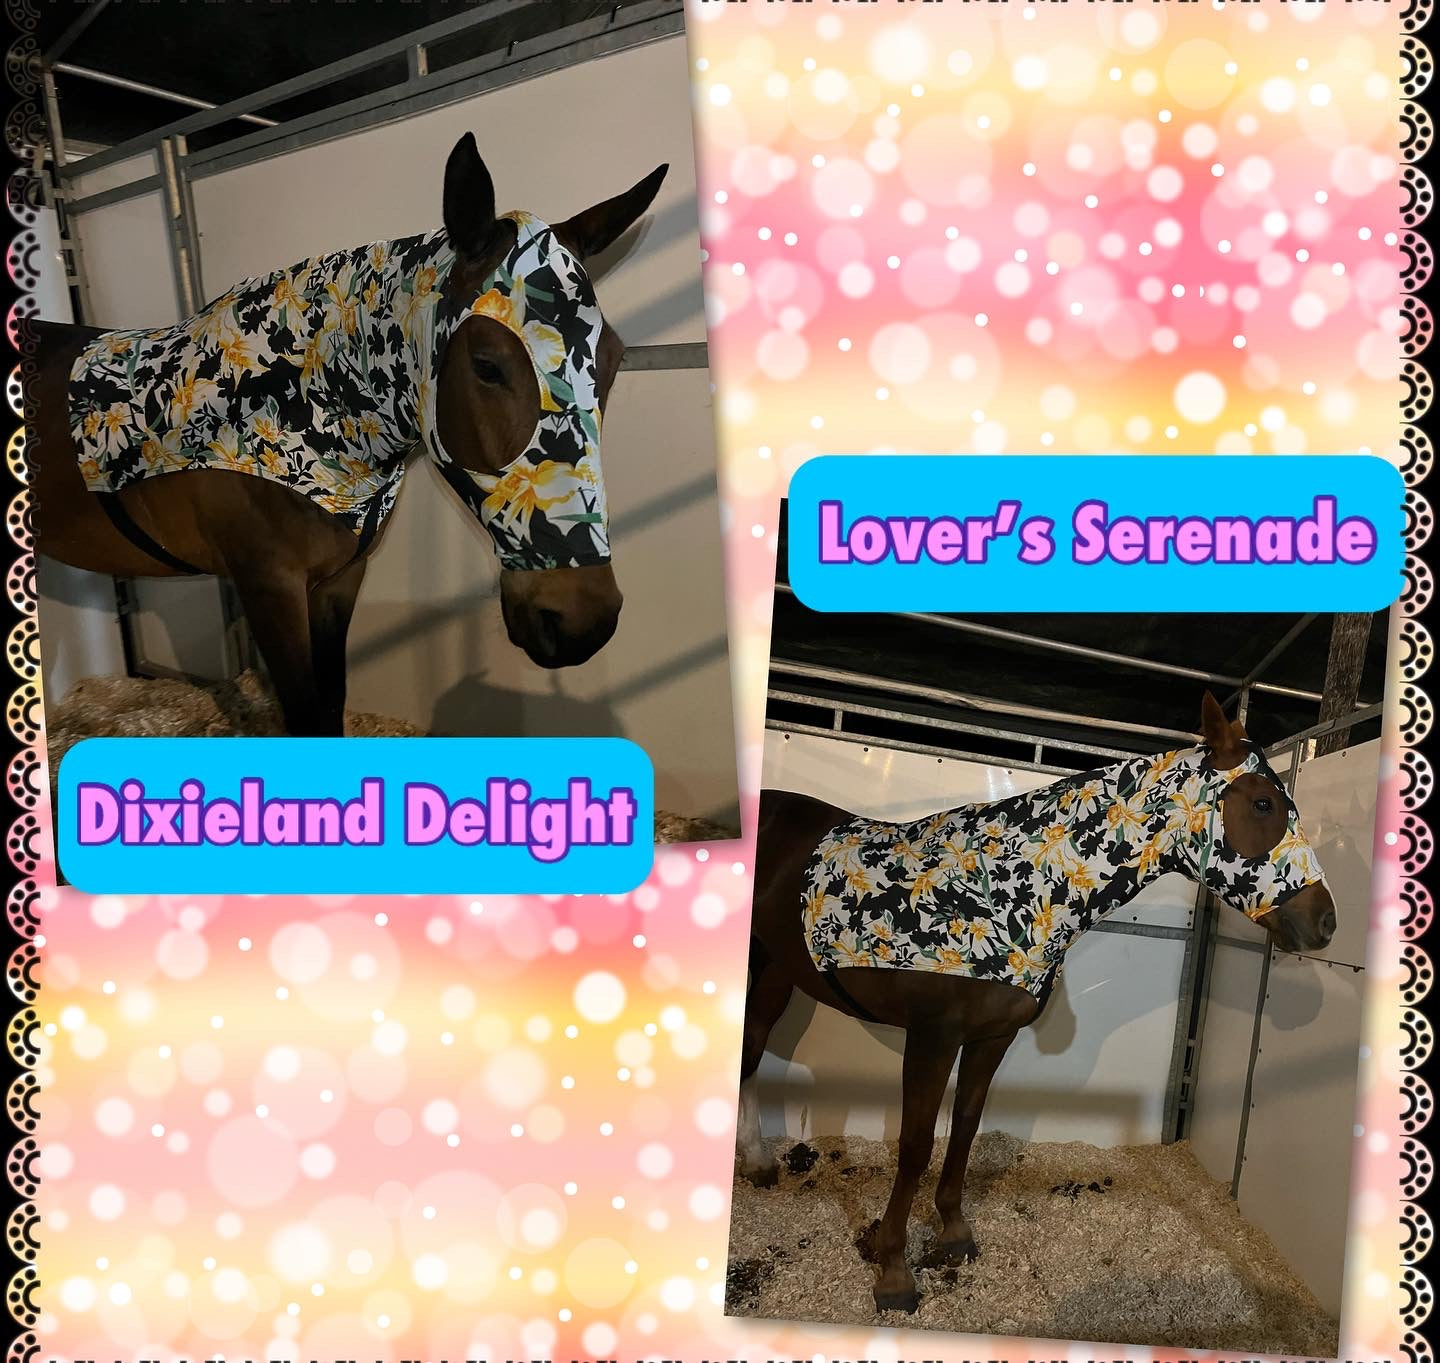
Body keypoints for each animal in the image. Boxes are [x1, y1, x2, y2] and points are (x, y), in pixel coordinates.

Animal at [23, 133, 668, 736]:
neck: (289, 406)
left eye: (612, 361)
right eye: (487, 365)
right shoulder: (270, 590)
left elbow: (331, 707)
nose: (581, 620)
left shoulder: (338, 583)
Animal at [736, 693, 1337, 1314]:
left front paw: (953, 1235)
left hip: (775, 974)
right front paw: (894, 1272)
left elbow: (966, 1127)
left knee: (750, 1052)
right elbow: (915, 1146)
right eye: (1264, 802)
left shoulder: (990, 1038)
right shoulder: (932, 1039)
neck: (1003, 892)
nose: (1325, 923)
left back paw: (757, 1163)